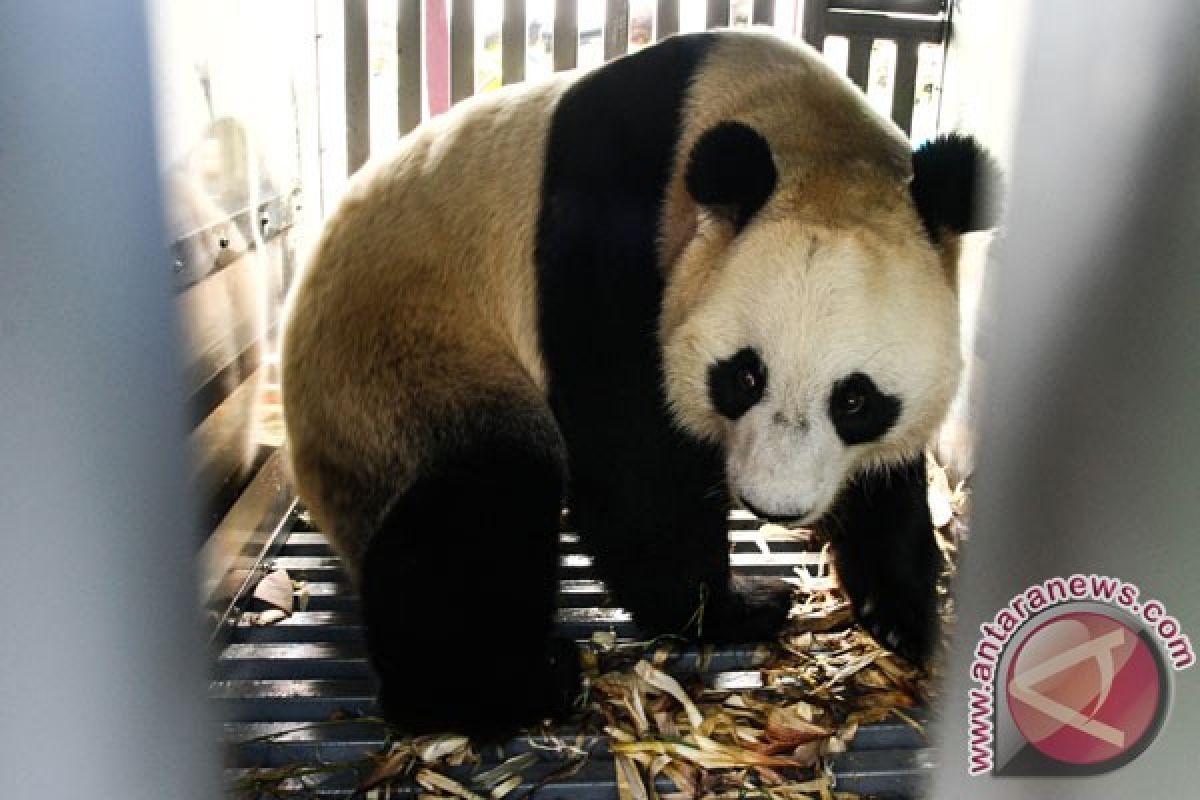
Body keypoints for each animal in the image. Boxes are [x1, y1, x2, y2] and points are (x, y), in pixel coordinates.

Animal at [280, 28, 993, 738]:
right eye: (744, 376)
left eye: (855, 400)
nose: (775, 506)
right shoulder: (609, 238)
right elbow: (630, 458)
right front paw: (736, 606)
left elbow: (888, 484)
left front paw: (905, 614)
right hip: (409, 366)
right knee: (479, 505)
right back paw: (500, 688)